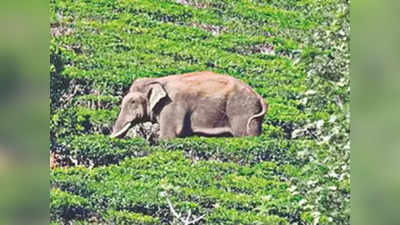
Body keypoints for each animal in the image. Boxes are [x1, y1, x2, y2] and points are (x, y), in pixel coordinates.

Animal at [109, 71, 268, 140]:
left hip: (243, 111)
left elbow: (168, 136)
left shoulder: (171, 106)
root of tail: (260, 97)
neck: (157, 80)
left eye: (132, 101)